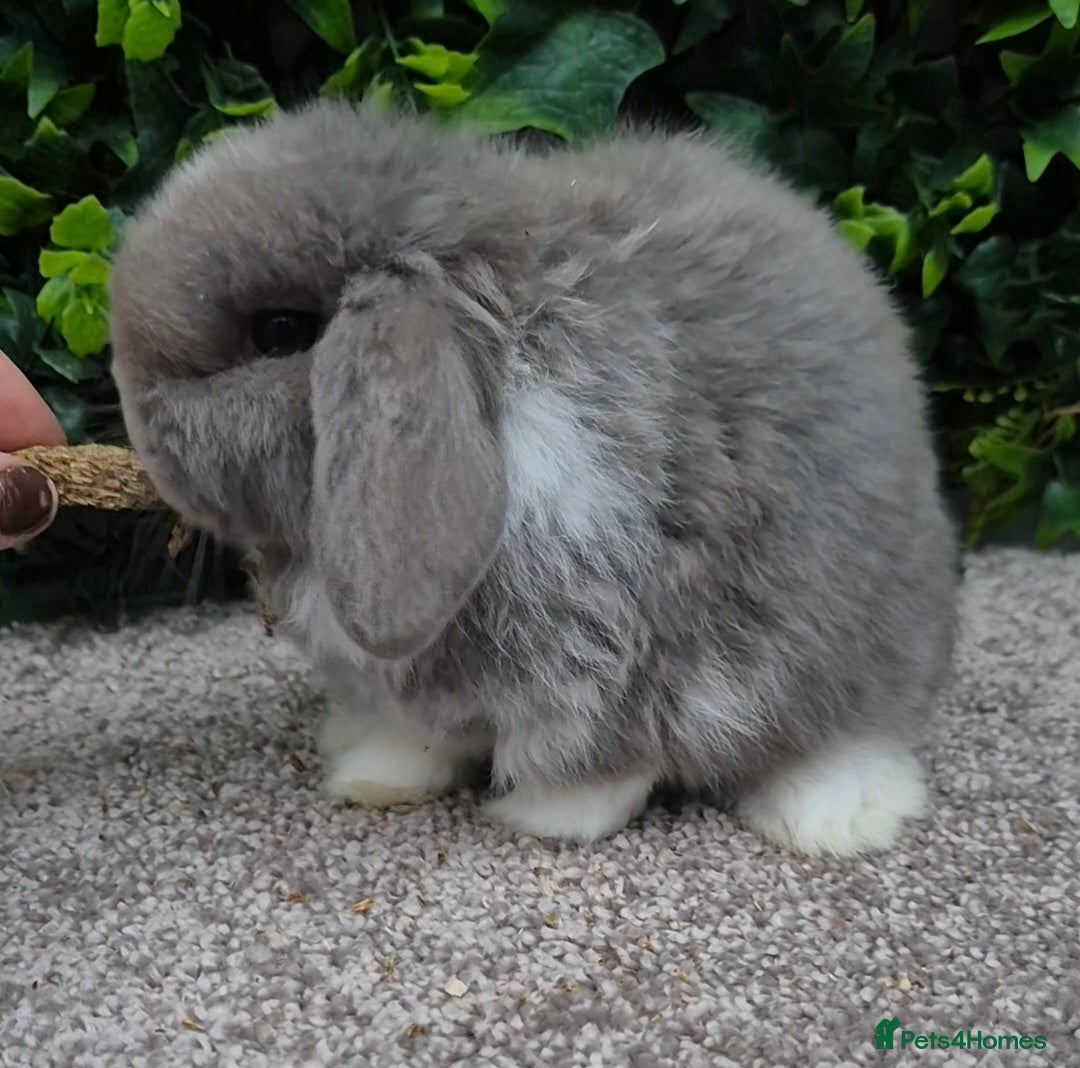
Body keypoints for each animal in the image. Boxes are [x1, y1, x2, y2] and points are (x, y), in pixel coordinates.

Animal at [109, 98, 958, 855]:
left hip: (848, 645)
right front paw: (372, 778)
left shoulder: (605, 645)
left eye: (279, 331)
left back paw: (838, 820)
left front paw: (543, 818)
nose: (133, 416)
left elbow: (599, 759)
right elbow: (415, 736)